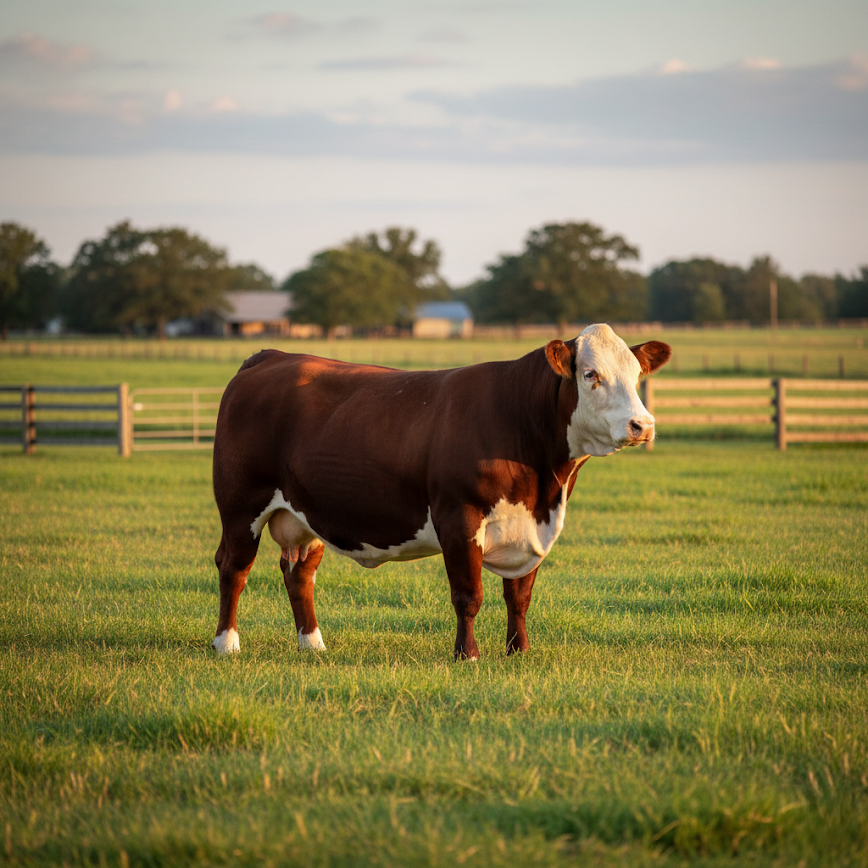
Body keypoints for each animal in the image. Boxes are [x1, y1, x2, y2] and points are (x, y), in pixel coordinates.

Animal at [211, 323, 671, 660]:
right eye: (591, 374)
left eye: (636, 375)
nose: (642, 425)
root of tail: (271, 356)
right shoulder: (458, 517)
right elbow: (468, 595)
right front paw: (467, 655)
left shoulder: (531, 528)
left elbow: (519, 596)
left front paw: (519, 652)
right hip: (240, 505)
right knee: (234, 567)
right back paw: (226, 644)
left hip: (305, 513)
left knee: (299, 572)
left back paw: (313, 644)